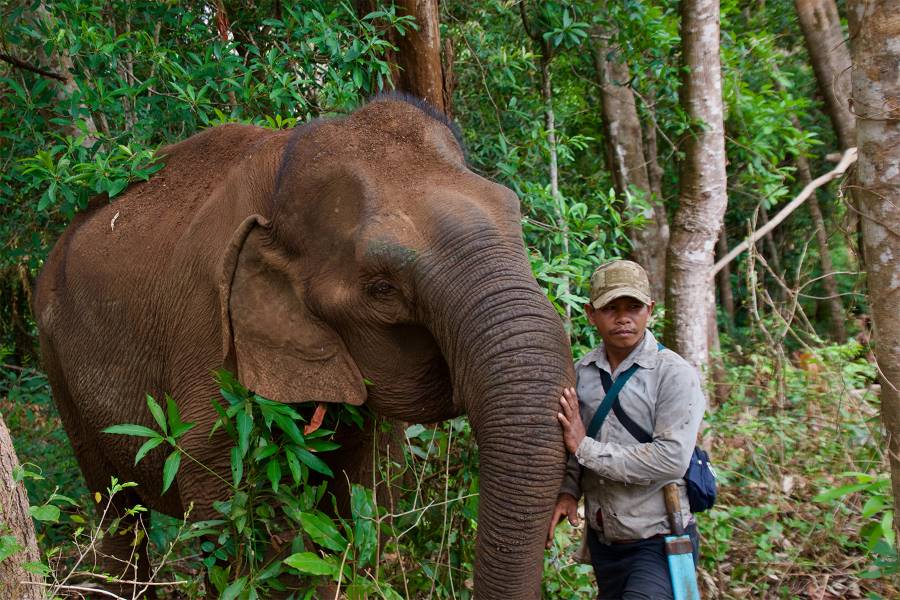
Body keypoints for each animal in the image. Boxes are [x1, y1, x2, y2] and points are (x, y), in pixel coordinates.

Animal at [35, 96, 572, 596]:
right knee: (115, 510)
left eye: (515, 215)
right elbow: (217, 495)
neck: (279, 177)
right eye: (382, 288)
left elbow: (364, 489)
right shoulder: (205, 332)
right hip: (54, 359)